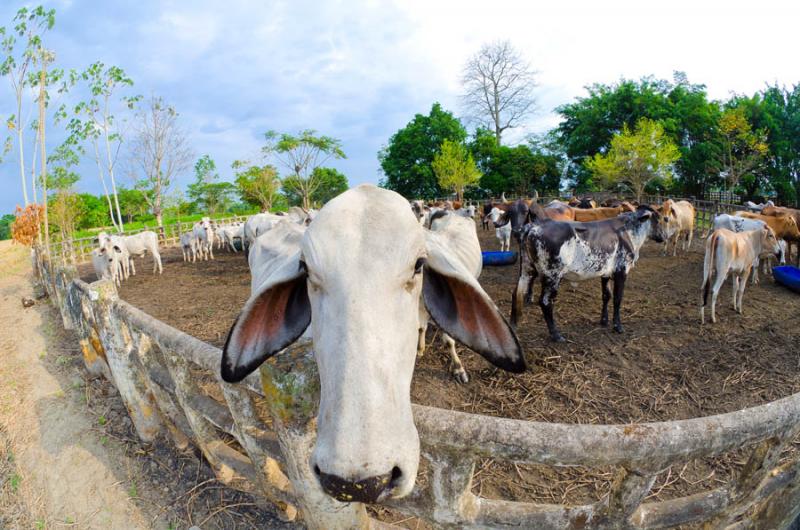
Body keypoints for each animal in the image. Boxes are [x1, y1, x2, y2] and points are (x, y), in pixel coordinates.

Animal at [512, 204, 668, 340]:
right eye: (658, 219)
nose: (665, 236)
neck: (628, 232)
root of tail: (534, 226)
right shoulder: (621, 271)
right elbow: (617, 298)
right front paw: (617, 326)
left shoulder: (605, 273)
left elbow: (606, 295)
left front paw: (604, 320)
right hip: (552, 275)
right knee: (545, 302)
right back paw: (556, 335)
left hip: (526, 270)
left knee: (517, 293)